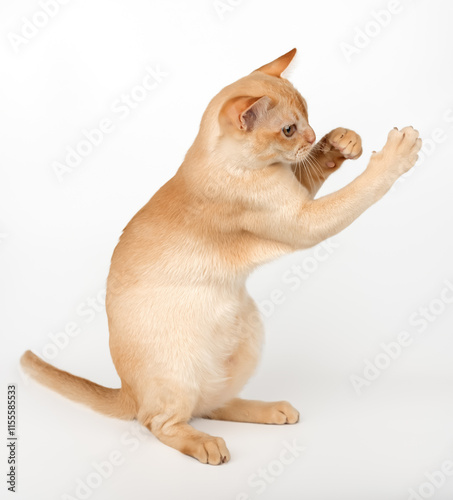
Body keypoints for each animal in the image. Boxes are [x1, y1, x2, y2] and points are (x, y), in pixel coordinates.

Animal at [21, 49, 422, 464]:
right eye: (288, 130)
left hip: (250, 335)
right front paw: (397, 154)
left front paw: (342, 140)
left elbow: (311, 167)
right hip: (179, 374)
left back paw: (271, 410)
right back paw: (207, 445)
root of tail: (126, 390)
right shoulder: (302, 221)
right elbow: (359, 191)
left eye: (307, 117)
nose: (312, 134)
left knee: (211, 403)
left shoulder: (296, 193)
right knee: (160, 421)